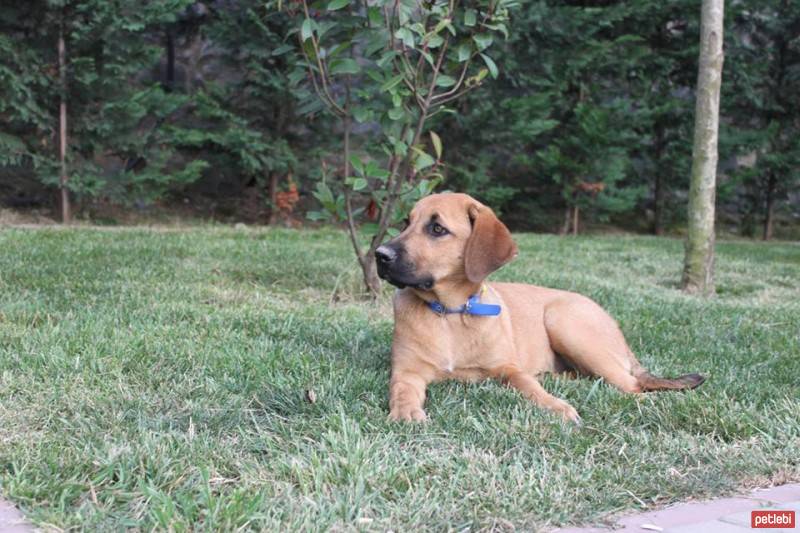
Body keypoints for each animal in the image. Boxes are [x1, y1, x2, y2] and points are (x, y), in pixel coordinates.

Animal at [372, 193, 704, 422]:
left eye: (437, 228)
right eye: (406, 223)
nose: (380, 255)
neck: (452, 313)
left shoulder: (507, 367)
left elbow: (528, 386)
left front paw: (555, 406)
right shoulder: (407, 371)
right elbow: (401, 391)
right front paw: (406, 412)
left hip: (565, 322)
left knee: (632, 387)